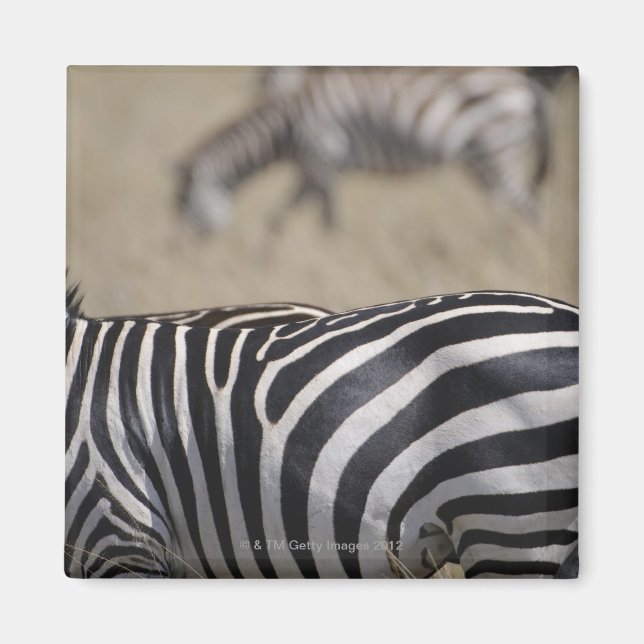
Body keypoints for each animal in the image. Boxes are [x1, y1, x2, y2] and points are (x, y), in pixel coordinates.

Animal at [178, 67, 554, 233]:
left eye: (183, 207)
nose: (176, 253)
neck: (288, 125)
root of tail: (526, 83)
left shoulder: (323, 161)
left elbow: (328, 222)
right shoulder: (311, 168)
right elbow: (278, 218)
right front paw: (263, 264)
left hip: (498, 152)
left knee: (529, 207)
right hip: (484, 163)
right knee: (509, 205)